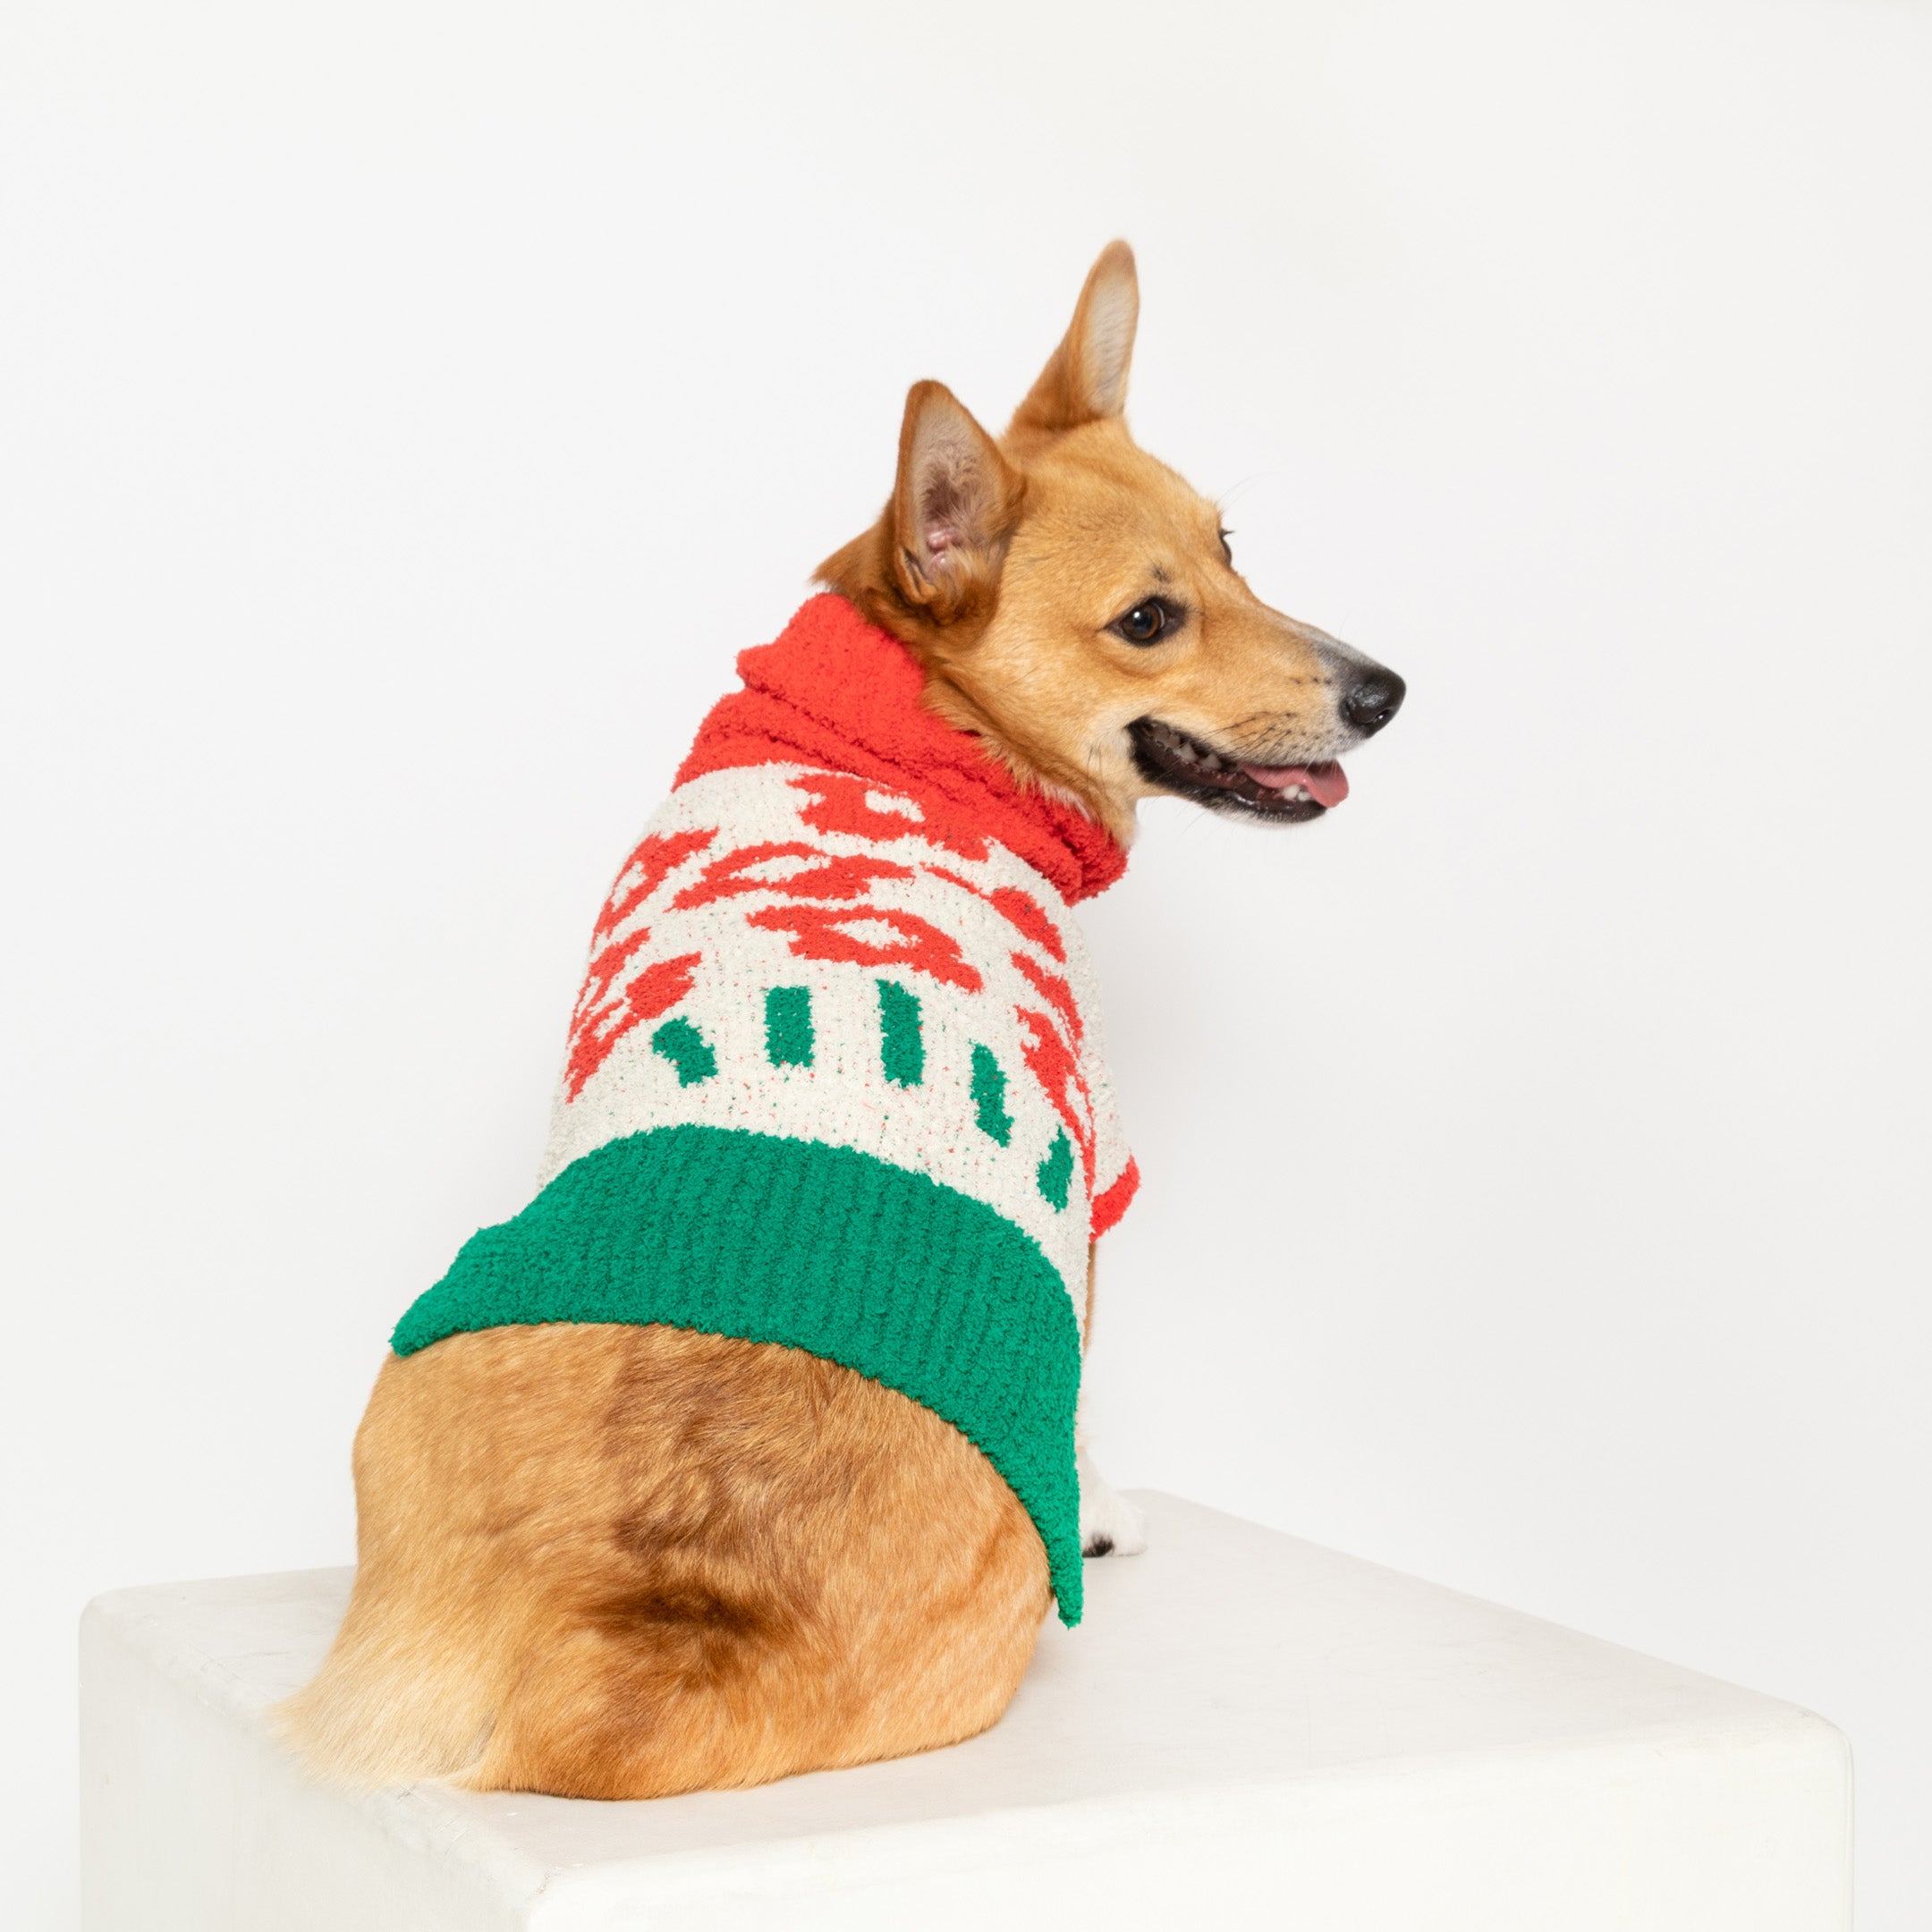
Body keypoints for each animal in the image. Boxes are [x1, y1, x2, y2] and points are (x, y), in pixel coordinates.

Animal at [275, 242, 1406, 1792]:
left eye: (1235, 547)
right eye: (1149, 620)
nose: (1388, 692)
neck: (927, 728)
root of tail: (625, 1654)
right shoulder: (1095, 1173)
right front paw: (1107, 1506)